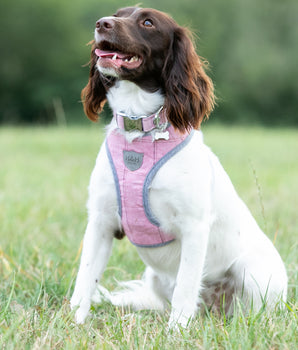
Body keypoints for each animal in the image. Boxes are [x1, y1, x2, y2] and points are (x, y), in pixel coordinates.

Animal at [71, 5, 288, 328]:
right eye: (117, 13)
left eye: (148, 22)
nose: (101, 23)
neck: (140, 133)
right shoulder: (101, 220)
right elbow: (84, 280)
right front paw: (71, 322)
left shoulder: (194, 227)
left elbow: (186, 288)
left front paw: (176, 331)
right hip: (155, 277)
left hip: (255, 274)